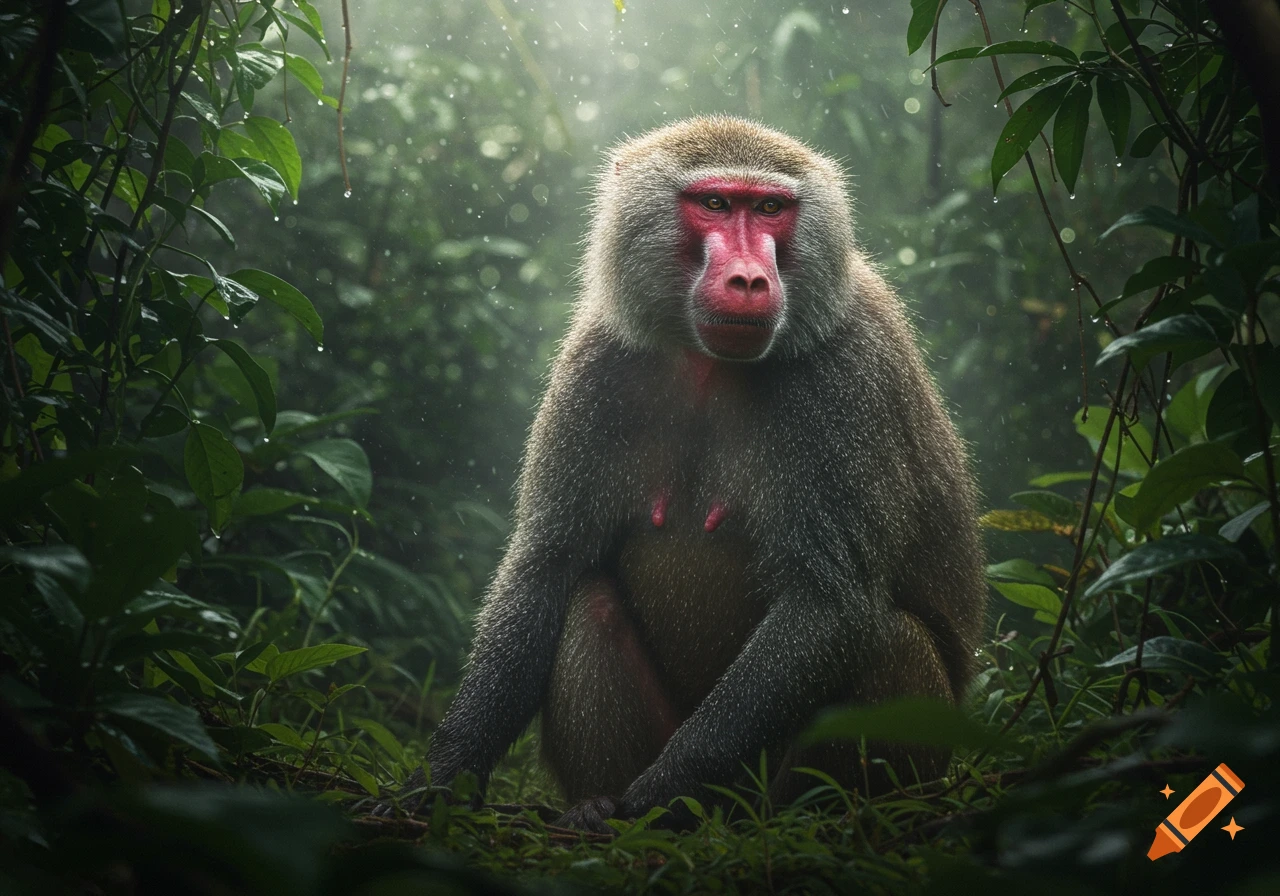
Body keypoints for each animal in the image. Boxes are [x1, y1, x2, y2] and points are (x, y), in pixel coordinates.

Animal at [389, 116, 986, 832]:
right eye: (715, 203)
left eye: (769, 208)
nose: (750, 280)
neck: (707, 362)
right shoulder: (596, 366)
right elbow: (547, 570)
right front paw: (442, 777)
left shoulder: (845, 377)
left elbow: (830, 605)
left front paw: (662, 792)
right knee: (588, 601)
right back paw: (594, 804)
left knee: (892, 640)